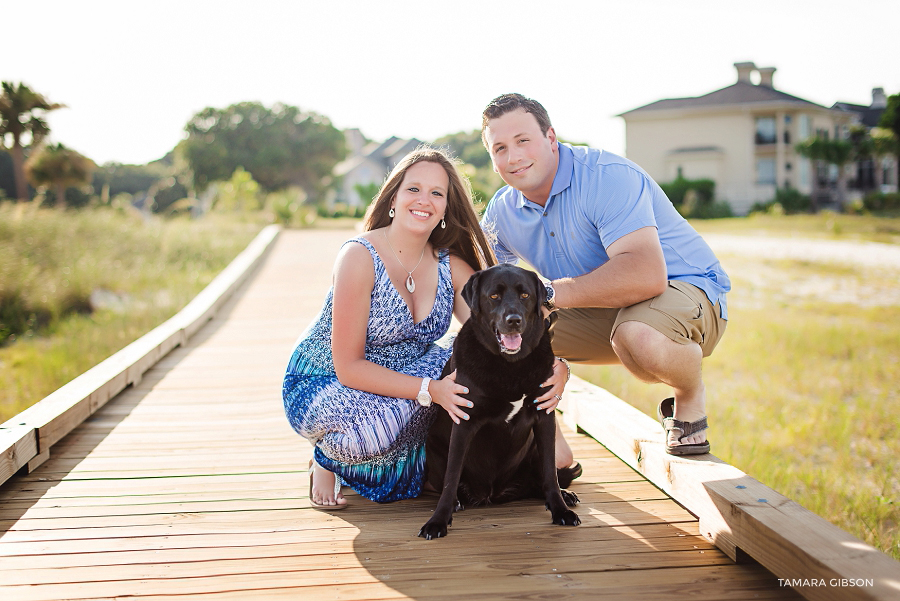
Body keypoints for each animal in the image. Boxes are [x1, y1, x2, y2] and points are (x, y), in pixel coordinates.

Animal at [418, 264, 580, 540]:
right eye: (494, 296)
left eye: (525, 295)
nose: (513, 320)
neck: (510, 366)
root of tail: (492, 494)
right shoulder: (464, 420)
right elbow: (451, 477)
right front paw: (438, 521)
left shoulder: (544, 415)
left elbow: (550, 473)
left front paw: (560, 509)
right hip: (433, 448)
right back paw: (458, 502)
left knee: (541, 480)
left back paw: (564, 496)